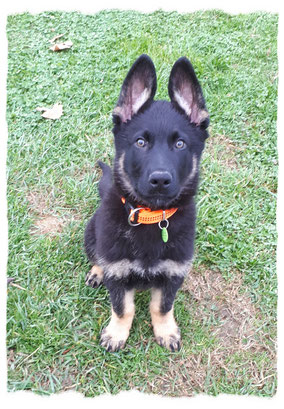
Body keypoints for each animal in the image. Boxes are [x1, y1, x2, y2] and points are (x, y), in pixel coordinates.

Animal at [84, 55, 209, 352]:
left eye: (180, 144)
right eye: (140, 142)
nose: (160, 180)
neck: (152, 217)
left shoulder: (174, 272)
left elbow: (162, 306)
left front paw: (166, 331)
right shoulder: (117, 272)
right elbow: (122, 308)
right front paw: (116, 334)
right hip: (91, 233)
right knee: (96, 255)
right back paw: (96, 271)